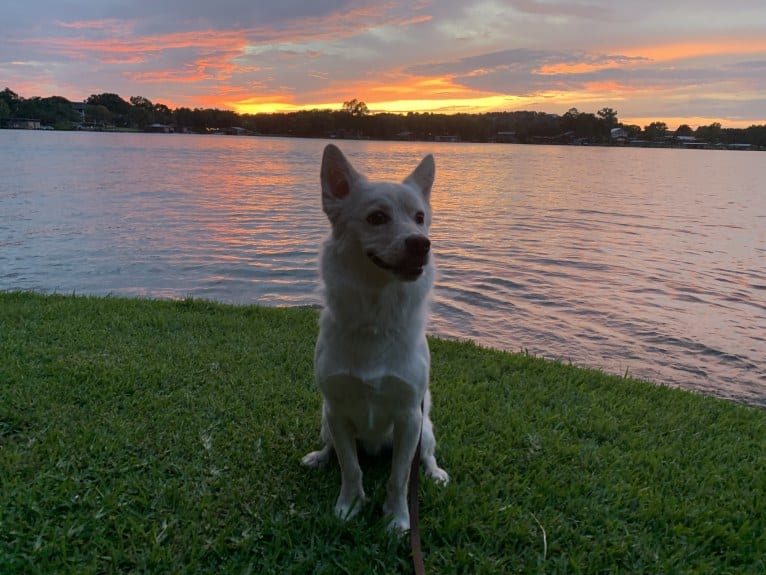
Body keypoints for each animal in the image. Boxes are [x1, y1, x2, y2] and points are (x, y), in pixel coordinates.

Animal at [304, 144, 450, 532]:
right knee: (334, 450)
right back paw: (319, 458)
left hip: (425, 430)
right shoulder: (337, 412)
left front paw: (398, 518)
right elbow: (351, 468)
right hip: (325, 421)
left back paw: (435, 473)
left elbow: (399, 478)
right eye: (377, 217)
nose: (422, 244)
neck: (375, 317)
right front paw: (350, 505)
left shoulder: (409, 419)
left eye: (420, 217)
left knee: (426, 457)